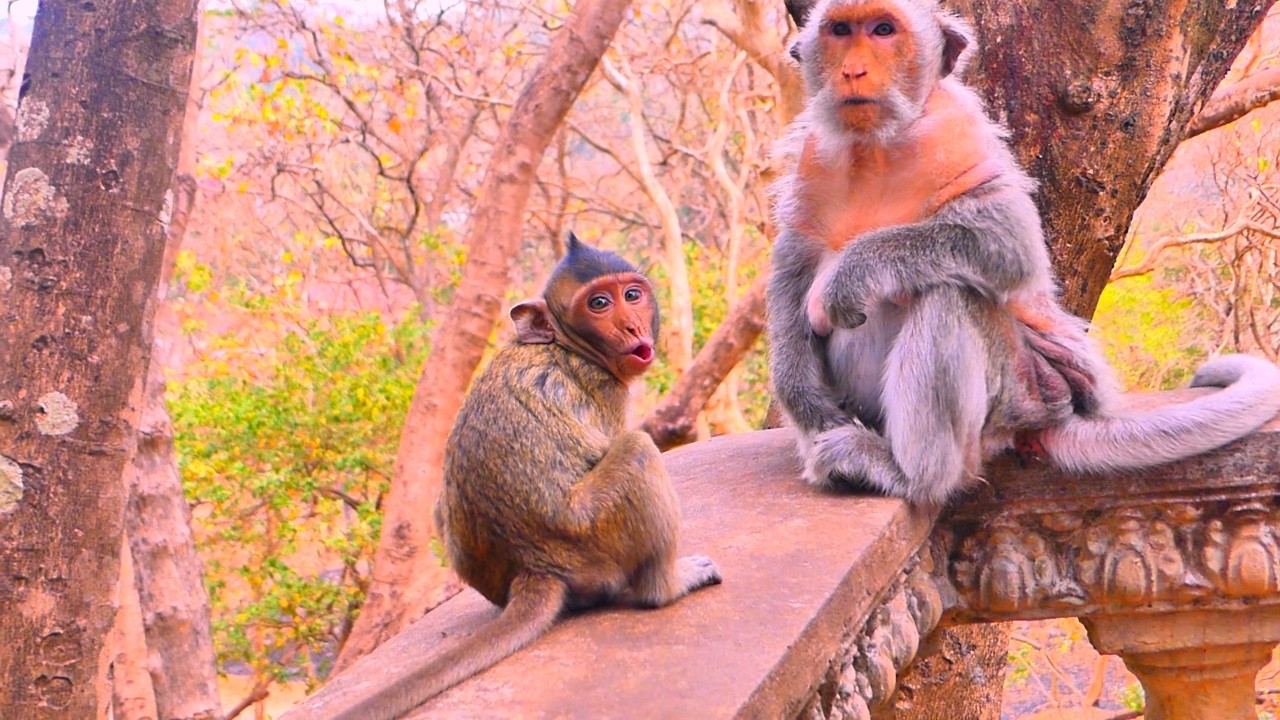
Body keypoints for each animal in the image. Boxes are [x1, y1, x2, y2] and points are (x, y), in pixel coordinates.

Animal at [340, 233, 722, 720]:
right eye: (599, 303)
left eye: (632, 295)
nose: (633, 328)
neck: (564, 345)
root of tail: (536, 566)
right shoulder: (605, 389)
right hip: (594, 541)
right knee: (638, 451)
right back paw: (667, 586)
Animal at [767, 0, 1280, 507]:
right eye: (840, 31)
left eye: (882, 30)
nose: (853, 70)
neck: (875, 146)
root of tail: (1052, 417)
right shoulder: (816, 157)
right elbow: (797, 258)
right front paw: (802, 393)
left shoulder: (953, 134)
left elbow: (1008, 242)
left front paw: (851, 273)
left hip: (1024, 390)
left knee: (951, 296)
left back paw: (911, 476)